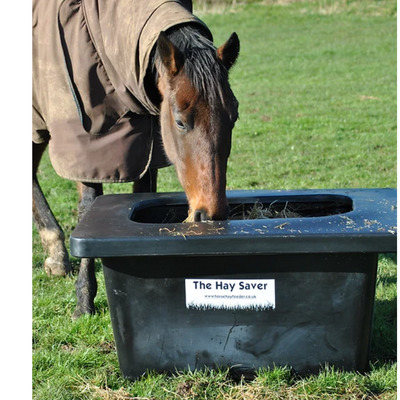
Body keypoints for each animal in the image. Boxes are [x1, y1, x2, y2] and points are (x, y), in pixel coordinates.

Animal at [32, 0, 239, 318]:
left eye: (234, 117)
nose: (210, 215)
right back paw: (56, 252)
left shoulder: (148, 152)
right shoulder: (88, 150)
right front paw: (84, 302)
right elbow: (87, 210)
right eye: (180, 122)